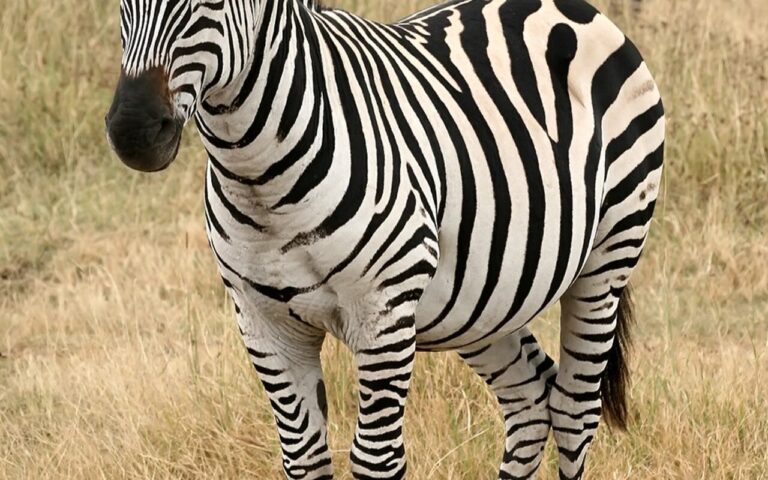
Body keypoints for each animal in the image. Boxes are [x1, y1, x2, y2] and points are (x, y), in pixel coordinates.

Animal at [104, 0, 664, 478]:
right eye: (123, 2)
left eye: (215, 2)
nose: (133, 132)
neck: (258, 177)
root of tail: (567, 7)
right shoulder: (262, 322)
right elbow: (304, 457)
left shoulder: (385, 314)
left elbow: (375, 459)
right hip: (482, 300)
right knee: (529, 396)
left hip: (608, 257)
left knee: (574, 409)